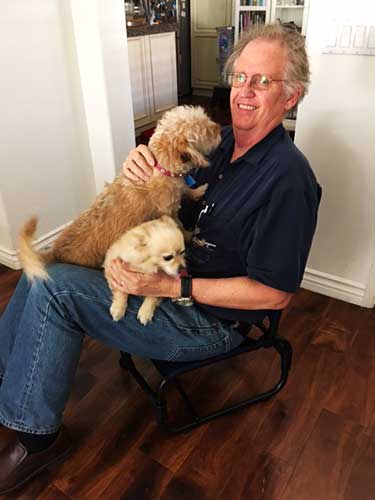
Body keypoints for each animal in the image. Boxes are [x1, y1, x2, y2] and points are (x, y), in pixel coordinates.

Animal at [19, 104, 222, 282]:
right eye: (204, 131)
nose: (219, 127)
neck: (162, 167)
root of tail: (56, 251)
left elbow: (186, 190)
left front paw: (198, 190)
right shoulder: (169, 211)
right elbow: (179, 226)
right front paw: (189, 234)